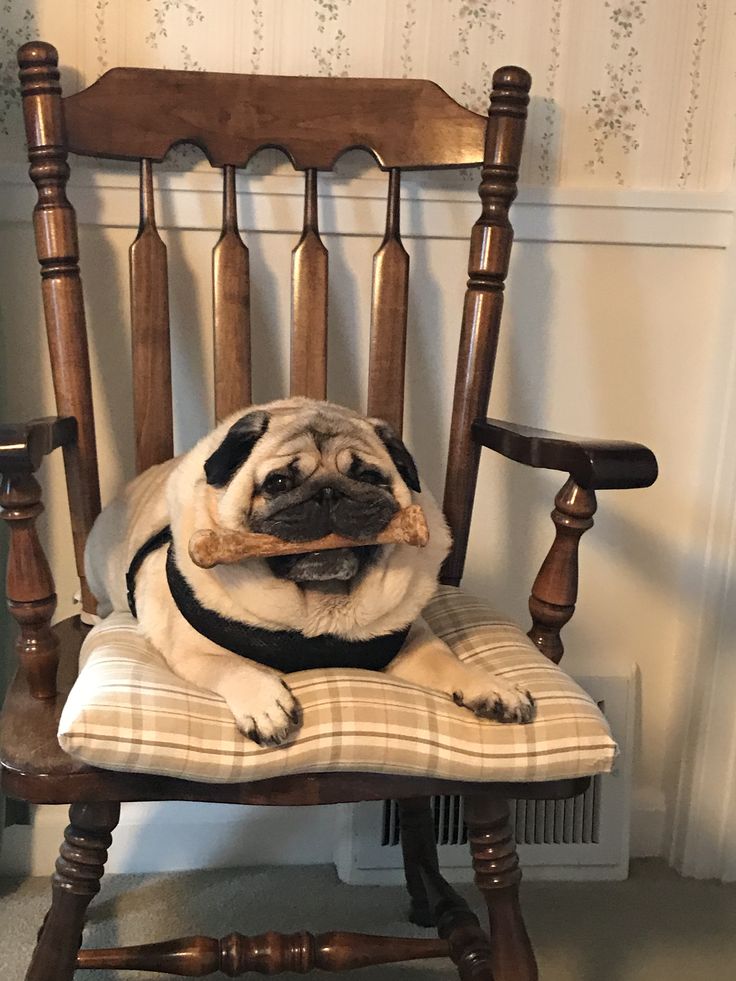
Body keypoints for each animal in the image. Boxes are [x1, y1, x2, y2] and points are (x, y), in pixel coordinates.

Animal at [85, 396, 536, 744]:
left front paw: (493, 688)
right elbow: (232, 665)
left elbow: (447, 659)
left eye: (368, 477)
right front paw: (264, 702)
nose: (328, 492)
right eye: (279, 483)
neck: (321, 609)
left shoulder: (411, 641)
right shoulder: (188, 649)